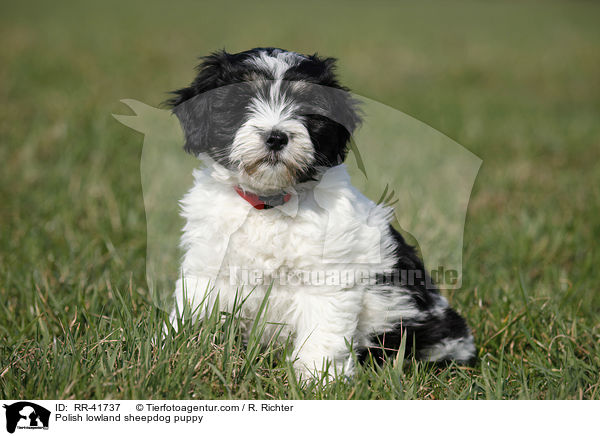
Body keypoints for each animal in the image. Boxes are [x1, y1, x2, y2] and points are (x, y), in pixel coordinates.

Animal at [166, 47, 476, 378]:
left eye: (307, 110)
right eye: (241, 103)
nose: (276, 137)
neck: (270, 203)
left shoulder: (327, 278)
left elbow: (321, 331)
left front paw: (315, 378)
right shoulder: (208, 263)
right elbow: (194, 307)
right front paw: (177, 350)